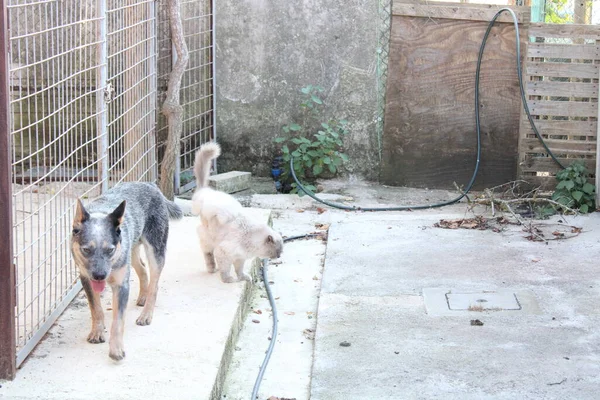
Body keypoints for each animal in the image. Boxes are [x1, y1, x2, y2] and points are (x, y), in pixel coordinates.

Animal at [71, 183, 183, 360]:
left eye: (110, 250)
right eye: (86, 250)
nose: (100, 276)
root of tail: (151, 185)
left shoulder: (121, 285)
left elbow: (117, 321)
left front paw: (116, 350)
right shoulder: (86, 279)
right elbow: (95, 308)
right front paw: (97, 332)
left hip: (155, 250)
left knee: (154, 284)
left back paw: (146, 314)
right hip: (132, 251)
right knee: (143, 269)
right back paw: (143, 297)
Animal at [192, 142, 286, 282]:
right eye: (277, 250)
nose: (279, 256)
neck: (250, 241)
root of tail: (205, 191)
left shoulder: (240, 257)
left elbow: (239, 270)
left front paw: (243, 278)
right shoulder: (224, 252)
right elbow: (226, 271)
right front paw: (229, 280)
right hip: (208, 237)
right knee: (208, 253)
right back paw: (212, 269)